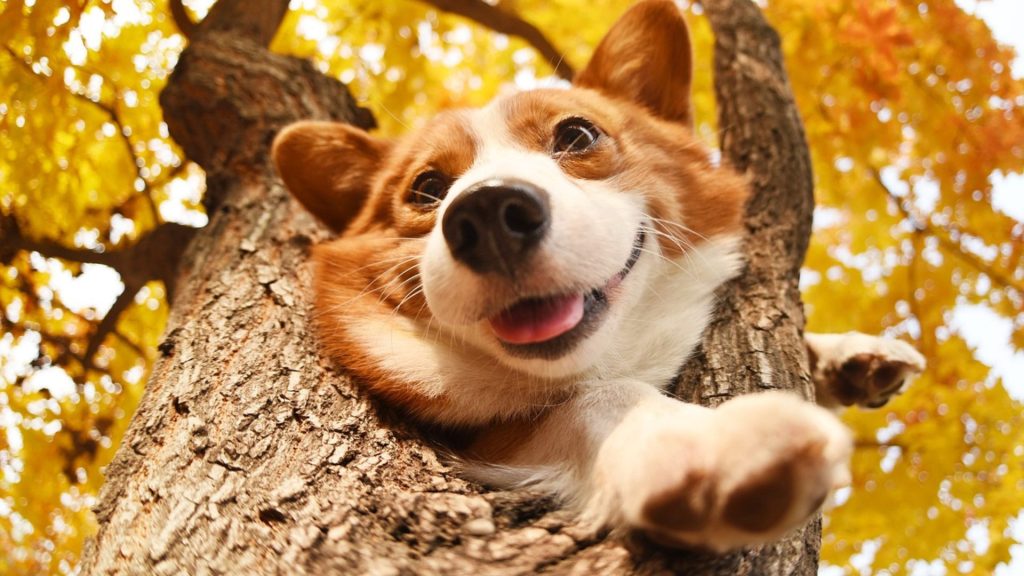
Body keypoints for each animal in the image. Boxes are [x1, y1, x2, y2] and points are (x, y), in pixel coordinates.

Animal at [268, 0, 925, 545]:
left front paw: (848, 355)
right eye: (427, 188)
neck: (602, 356)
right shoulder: (487, 438)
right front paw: (716, 446)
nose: (489, 214)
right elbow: (603, 400)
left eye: (576, 134)